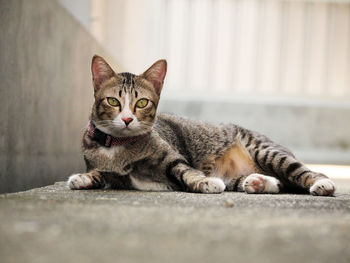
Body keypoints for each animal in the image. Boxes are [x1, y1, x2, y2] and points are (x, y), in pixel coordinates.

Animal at [66, 55, 336, 196]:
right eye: (113, 101)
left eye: (142, 102)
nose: (126, 119)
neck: (117, 147)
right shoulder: (106, 169)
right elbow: (99, 173)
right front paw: (83, 178)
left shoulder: (172, 158)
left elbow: (185, 171)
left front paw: (205, 182)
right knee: (276, 183)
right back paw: (257, 182)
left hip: (266, 151)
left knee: (302, 172)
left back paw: (321, 184)